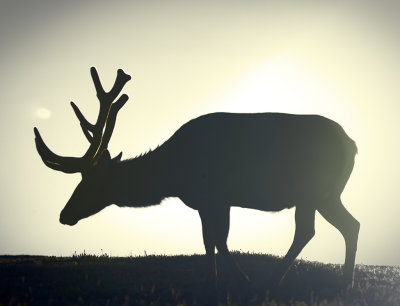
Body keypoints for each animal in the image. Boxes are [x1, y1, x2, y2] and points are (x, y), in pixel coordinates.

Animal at [33, 66, 360, 286]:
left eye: (92, 183)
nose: (64, 215)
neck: (174, 174)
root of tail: (352, 144)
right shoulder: (207, 202)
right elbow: (208, 240)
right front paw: (212, 280)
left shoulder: (216, 196)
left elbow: (219, 240)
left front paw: (239, 279)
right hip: (328, 195)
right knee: (351, 225)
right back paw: (345, 283)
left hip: (311, 190)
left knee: (307, 230)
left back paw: (272, 282)